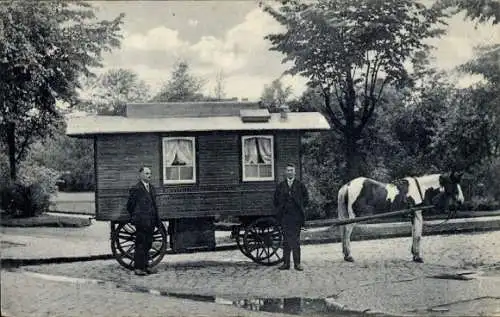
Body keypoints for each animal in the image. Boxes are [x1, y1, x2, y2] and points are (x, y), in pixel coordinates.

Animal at [336, 172, 464, 262]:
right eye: (454, 185)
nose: (461, 201)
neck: (420, 189)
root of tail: (347, 185)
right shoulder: (417, 214)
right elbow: (418, 235)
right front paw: (418, 257)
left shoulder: (413, 216)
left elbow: (414, 234)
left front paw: (414, 255)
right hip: (353, 217)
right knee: (347, 233)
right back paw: (349, 255)